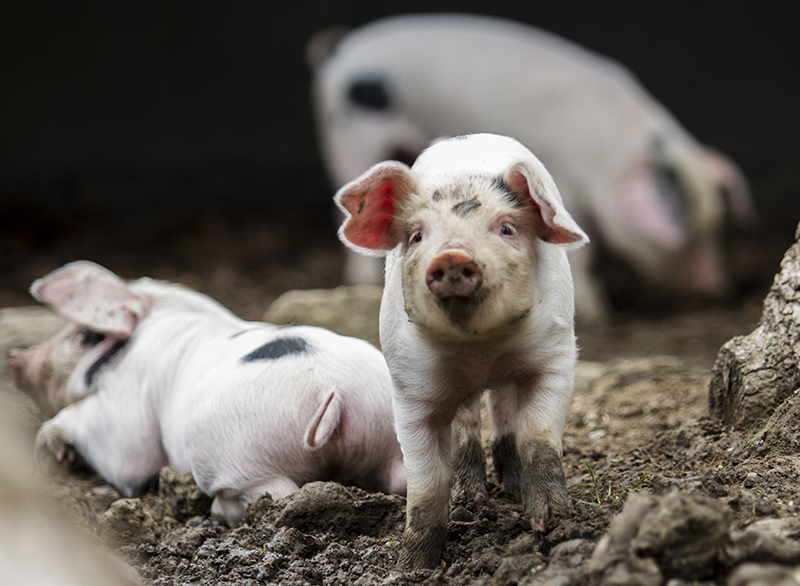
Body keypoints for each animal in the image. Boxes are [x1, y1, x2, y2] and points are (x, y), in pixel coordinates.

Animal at [8, 261, 406, 526]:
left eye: (83, 335)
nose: (15, 359)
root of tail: (333, 390)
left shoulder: (130, 403)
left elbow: (127, 457)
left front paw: (48, 454)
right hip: (391, 436)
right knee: (399, 478)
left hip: (235, 456)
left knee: (276, 492)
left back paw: (218, 511)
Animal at [310, 13, 754, 323]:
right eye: (687, 238)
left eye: (715, 226)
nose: (718, 285)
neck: (610, 158)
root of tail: (340, 51)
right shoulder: (565, 180)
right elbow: (580, 249)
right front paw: (596, 315)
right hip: (348, 136)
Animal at [335, 133, 589, 569]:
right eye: (417, 235)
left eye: (506, 228)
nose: (452, 255)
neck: (478, 349)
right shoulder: (410, 390)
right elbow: (426, 483)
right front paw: (412, 567)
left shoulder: (554, 357)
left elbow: (536, 435)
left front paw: (551, 523)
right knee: (468, 420)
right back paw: (473, 496)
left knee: (502, 409)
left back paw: (510, 486)